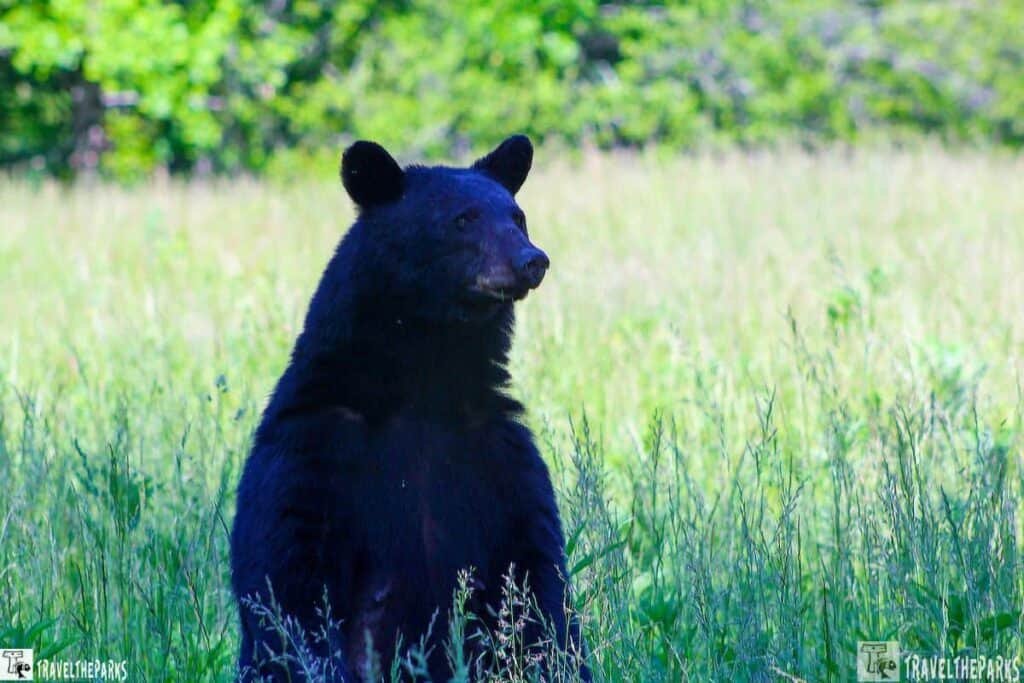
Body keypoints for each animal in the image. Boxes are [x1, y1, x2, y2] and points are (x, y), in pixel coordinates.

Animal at [230, 135, 590, 682]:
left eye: (518, 216)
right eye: (463, 219)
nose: (533, 260)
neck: (424, 384)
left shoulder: (501, 454)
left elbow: (535, 578)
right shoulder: (312, 448)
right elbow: (288, 579)